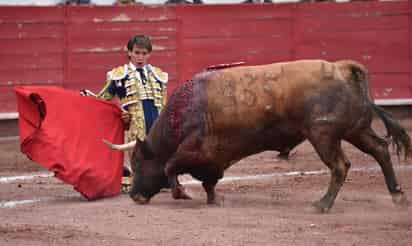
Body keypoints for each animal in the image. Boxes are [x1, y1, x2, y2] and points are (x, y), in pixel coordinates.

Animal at [104, 59, 410, 211]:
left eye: (139, 162)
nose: (134, 196)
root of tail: (343, 68)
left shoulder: (194, 147)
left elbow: (170, 166)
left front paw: (181, 193)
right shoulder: (212, 158)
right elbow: (209, 180)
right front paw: (214, 199)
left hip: (323, 135)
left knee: (340, 166)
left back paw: (322, 205)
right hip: (356, 129)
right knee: (380, 149)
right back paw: (397, 195)